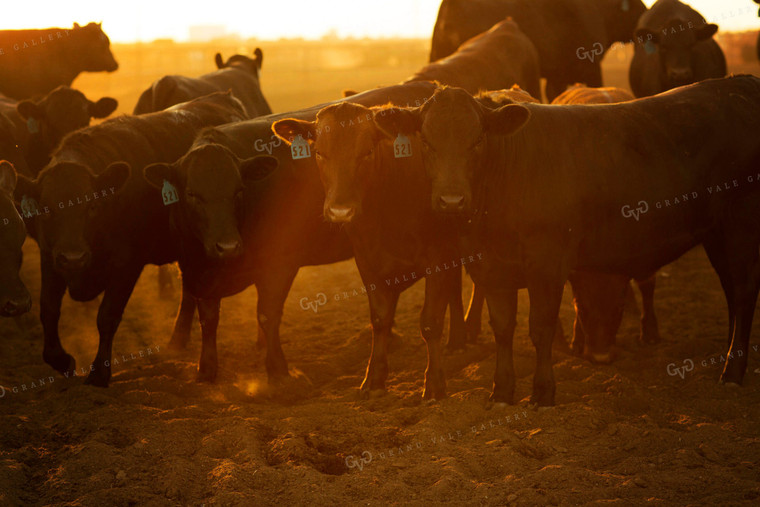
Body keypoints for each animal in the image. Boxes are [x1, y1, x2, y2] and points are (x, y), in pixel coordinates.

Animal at [14, 92, 246, 384]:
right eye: (46, 210)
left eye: (92, 206)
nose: (74, 257)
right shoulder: (51, 256)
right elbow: (48, 309)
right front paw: (61, 360)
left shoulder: (127, 265)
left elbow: (107, 316)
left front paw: (99, 373)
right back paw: (177, 340)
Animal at [378, 76, 760, 408]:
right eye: (426, 141)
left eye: (478, 141)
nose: (451, 200)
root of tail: (742, 84)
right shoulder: (493, 267)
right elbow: (503, 328)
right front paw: (501, 392)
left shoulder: (547, 262)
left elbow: (540, 327)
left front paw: (543, 393)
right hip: (717, 235)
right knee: (732, 292)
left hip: (741, 226)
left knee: (743, 293)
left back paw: (732, 372)